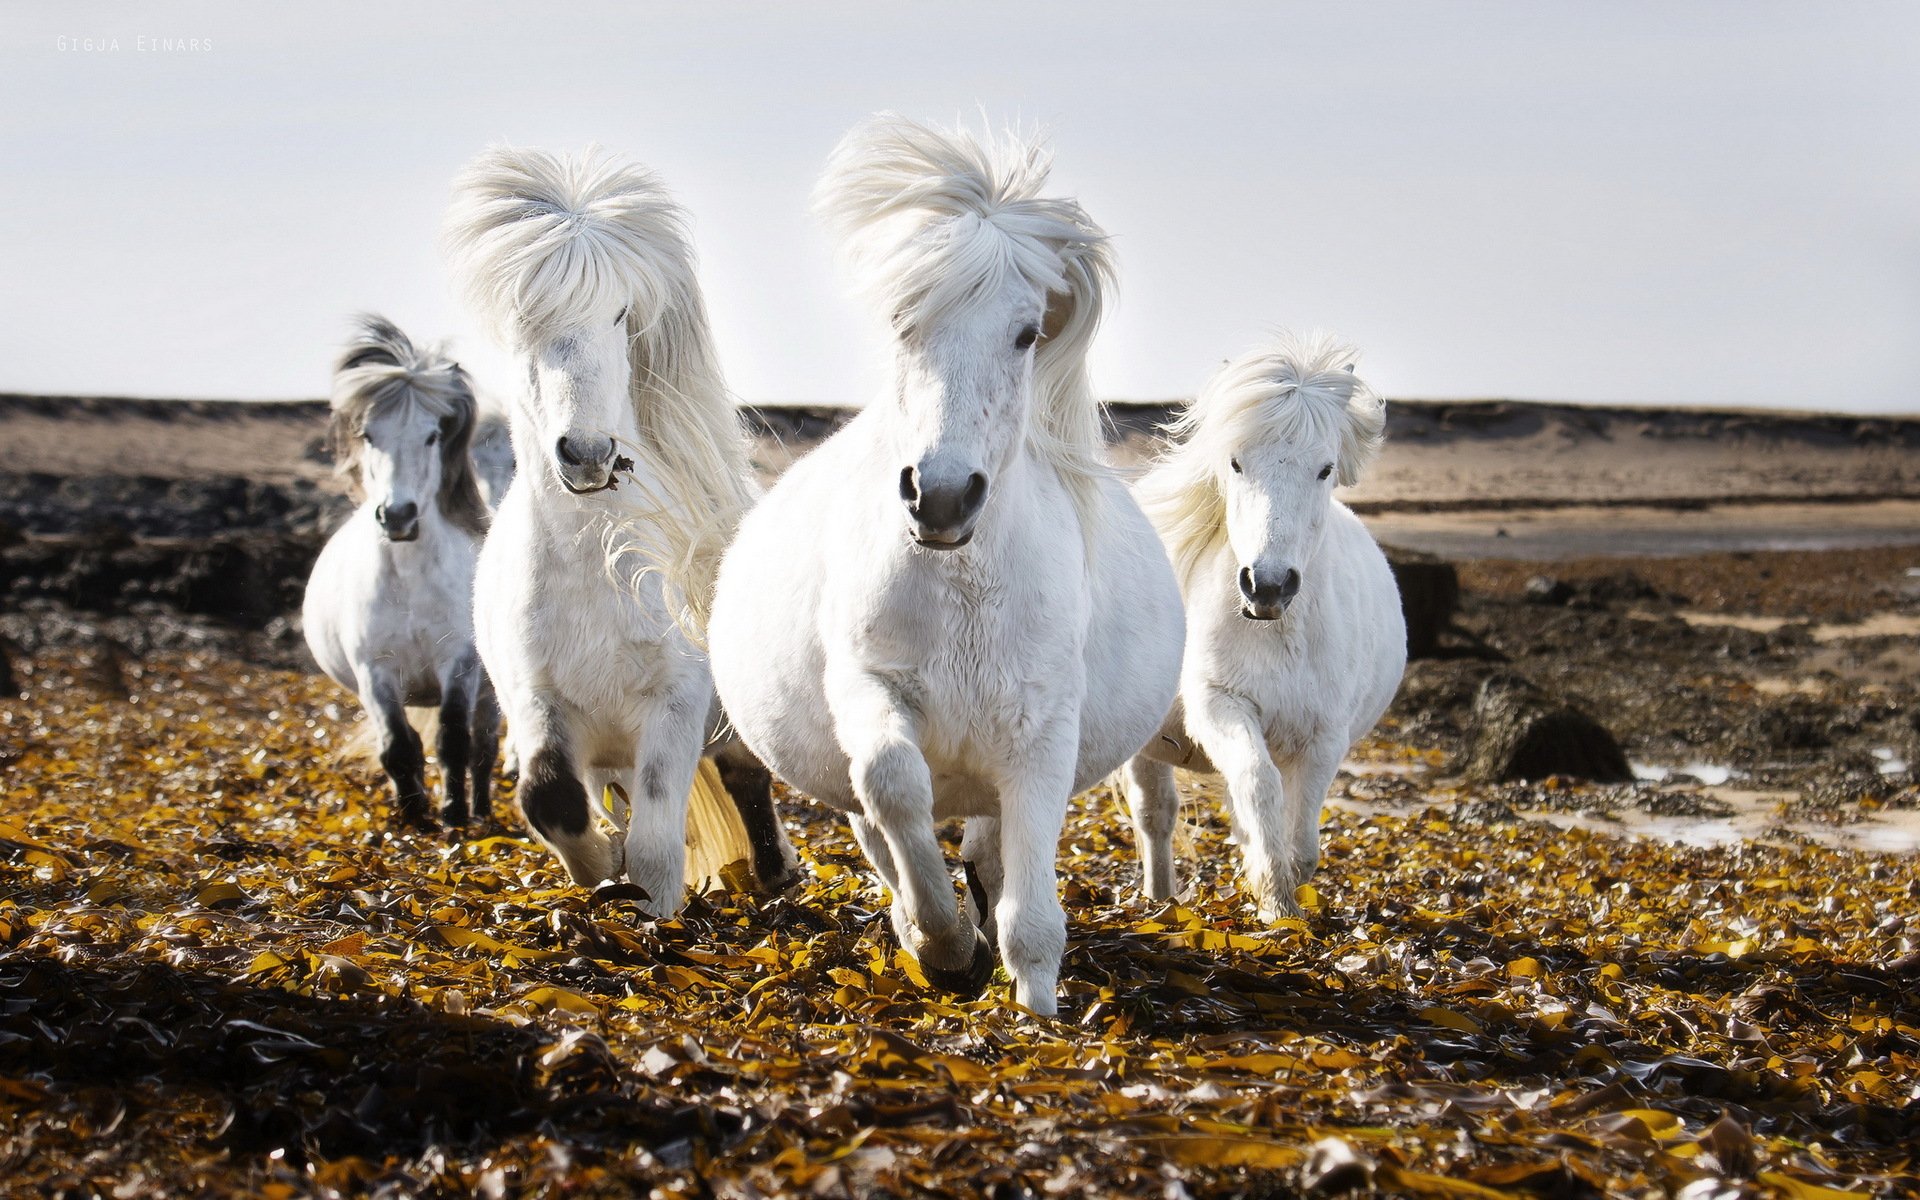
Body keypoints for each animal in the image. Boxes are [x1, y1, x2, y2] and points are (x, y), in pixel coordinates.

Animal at [303, 315, 501, 828]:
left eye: (432, 435)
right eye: (369, 435)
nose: (397, 516)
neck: (410, 581)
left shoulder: (459, 664)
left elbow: (453, 742)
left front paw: (453, 815)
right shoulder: (375, 671)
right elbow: (398, 745)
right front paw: (412, 816)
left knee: (484, 747)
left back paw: (481, 811)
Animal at [444, 145, 797, 915]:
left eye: (618, 314)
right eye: (524, 321)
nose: (586, 454)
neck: (598, 569)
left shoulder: (675, 704)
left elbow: (659, 843)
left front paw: (655, 917)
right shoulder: (538, 704)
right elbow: (550, 800)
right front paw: (602, 875)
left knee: (746, 778)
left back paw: (776, 873)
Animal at [706, 115, 1186, 1017]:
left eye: (1027, 332)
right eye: (903, 322)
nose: (942, 496)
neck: (965, 593)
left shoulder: (1041, 732)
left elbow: (1031, 914)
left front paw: (1034, 1010)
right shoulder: (871, 691)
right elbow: (894, 787)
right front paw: (943, 946)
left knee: (989, 850)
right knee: (881, 825)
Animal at [1122, 332, 1406, 922]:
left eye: (1324, 469)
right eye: (1235, 463)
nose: (1267, 586)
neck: (1279, 636)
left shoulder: (1324, 736)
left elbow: (1301, 839)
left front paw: (1287, 900)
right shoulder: (1222, 707)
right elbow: (1257, 785)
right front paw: (1273, 900)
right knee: (1156, 815)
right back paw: (1161, 903)